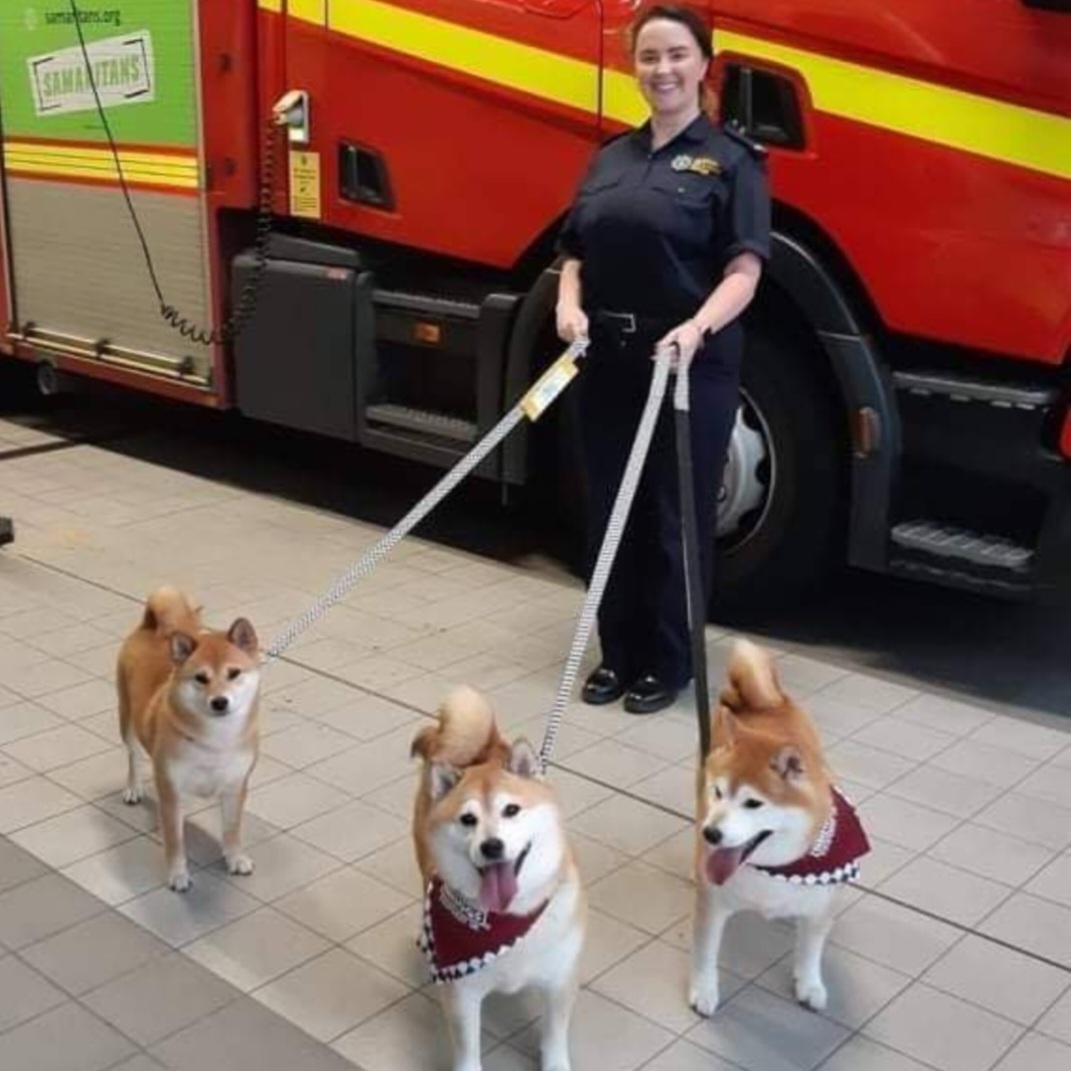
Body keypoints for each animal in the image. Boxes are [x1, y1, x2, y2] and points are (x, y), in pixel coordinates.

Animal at [116, 591, 261, 891]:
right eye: (200, 678)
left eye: (234, 673)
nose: (219, 701)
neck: (215, 740)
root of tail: (148, 627)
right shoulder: (171, 791)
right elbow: (174, 841)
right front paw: (178, 874)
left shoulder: (235, 785)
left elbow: (232, 829)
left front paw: (235, 858)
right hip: (127, 720)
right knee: (133, 756)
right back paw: (133, 788)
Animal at [409, 685, 586, 1071]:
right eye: (468, 819)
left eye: (511, 810)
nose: (491, 846)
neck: (507, 921)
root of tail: (484, 745)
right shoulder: (461, 991)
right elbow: (468, 1049)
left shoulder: (560, 978)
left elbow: (555, 1035)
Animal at [685, 638, 869, 1015]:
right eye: (719, 792)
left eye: (753, 803)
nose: (711, 834)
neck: (776, 869)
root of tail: (763, 702)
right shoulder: (713, 905)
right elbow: (705, 953)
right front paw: (704, 990)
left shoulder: (821, 910)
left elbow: (811, 950)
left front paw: (810, 984)